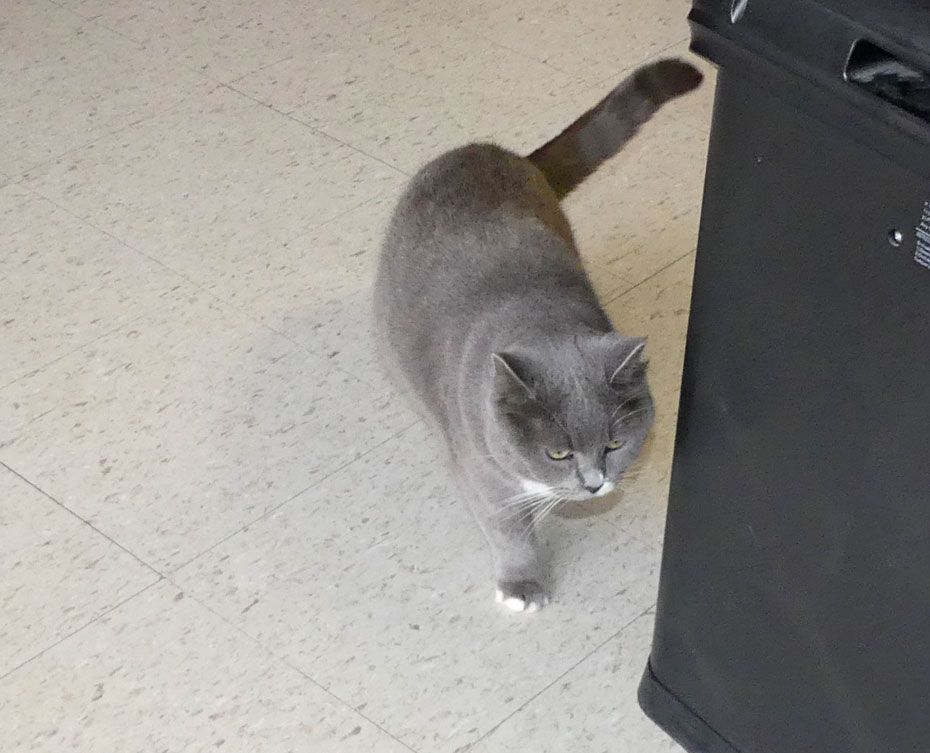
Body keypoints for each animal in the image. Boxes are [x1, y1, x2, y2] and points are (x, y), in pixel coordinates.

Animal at [374, 58, 700, 612]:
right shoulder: (483, 469)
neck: (540, 319)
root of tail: (491, 151)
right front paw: (522, 585)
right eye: (558, 454)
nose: (594, 485)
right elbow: (509, 531)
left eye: (615, 444)